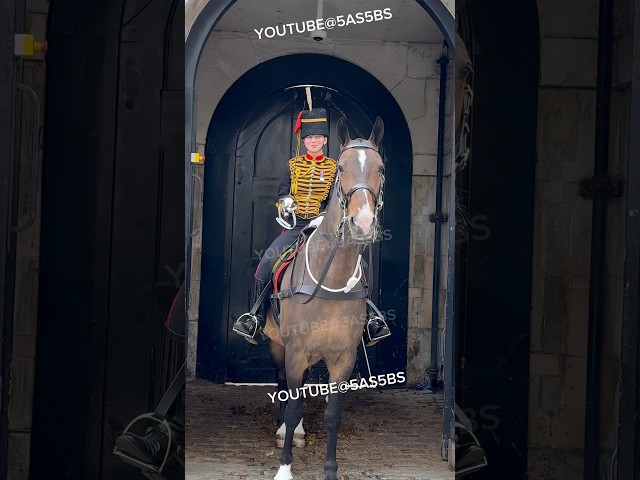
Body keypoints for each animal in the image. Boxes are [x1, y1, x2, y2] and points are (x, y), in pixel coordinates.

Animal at [260, 116, 384, 480]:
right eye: (341, 168)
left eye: (381, 168)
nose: (362, 223)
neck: (331, 279)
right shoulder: (295, 350)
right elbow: (292, 403)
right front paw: (284, 467)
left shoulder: (343, 358)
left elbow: (332, 416)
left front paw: (330, 470)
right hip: (278, 345)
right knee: (285, 386)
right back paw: (287, 431)